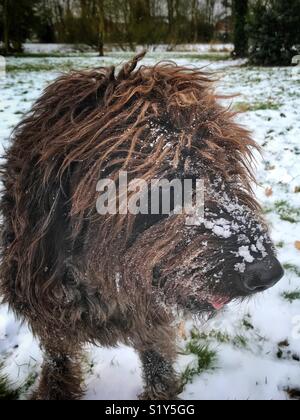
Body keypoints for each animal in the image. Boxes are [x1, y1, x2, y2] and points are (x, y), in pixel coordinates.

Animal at [0, 53, 282, 400]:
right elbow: (59, 355)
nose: (268, 273)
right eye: (168, 182)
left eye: (228, 169)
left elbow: (157, 361)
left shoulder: (150, 319)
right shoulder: (47, 313)